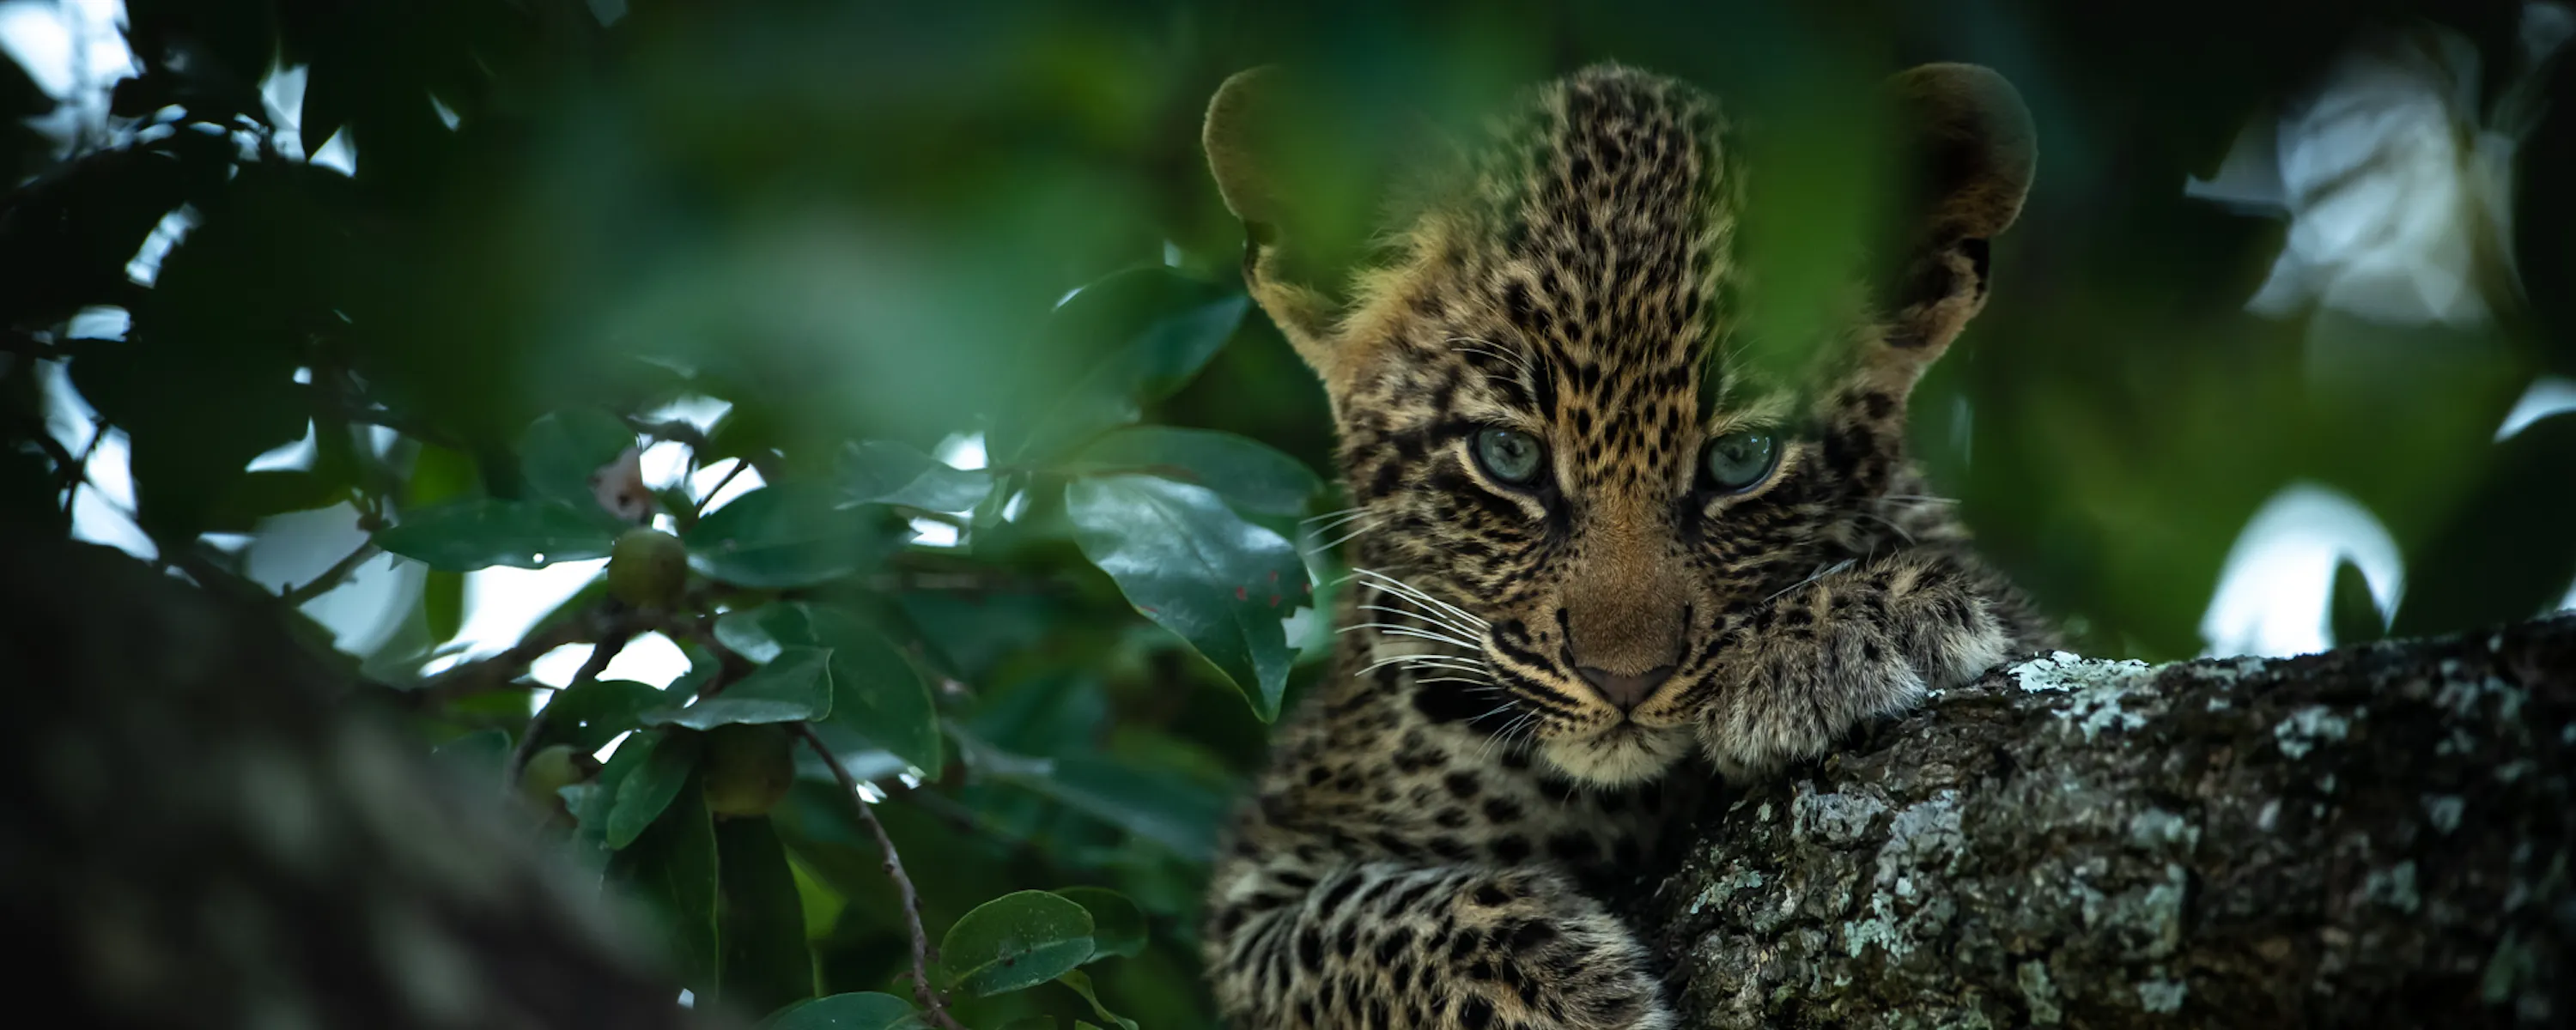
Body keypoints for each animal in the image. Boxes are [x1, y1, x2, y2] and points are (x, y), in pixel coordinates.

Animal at [1194, 61, 2056, 1029]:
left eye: (1741, 459)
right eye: (1509, 455)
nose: (1624, 681)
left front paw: (1854, 625)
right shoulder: (1259, 881)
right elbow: (1356, 926)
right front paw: (1553, 989)